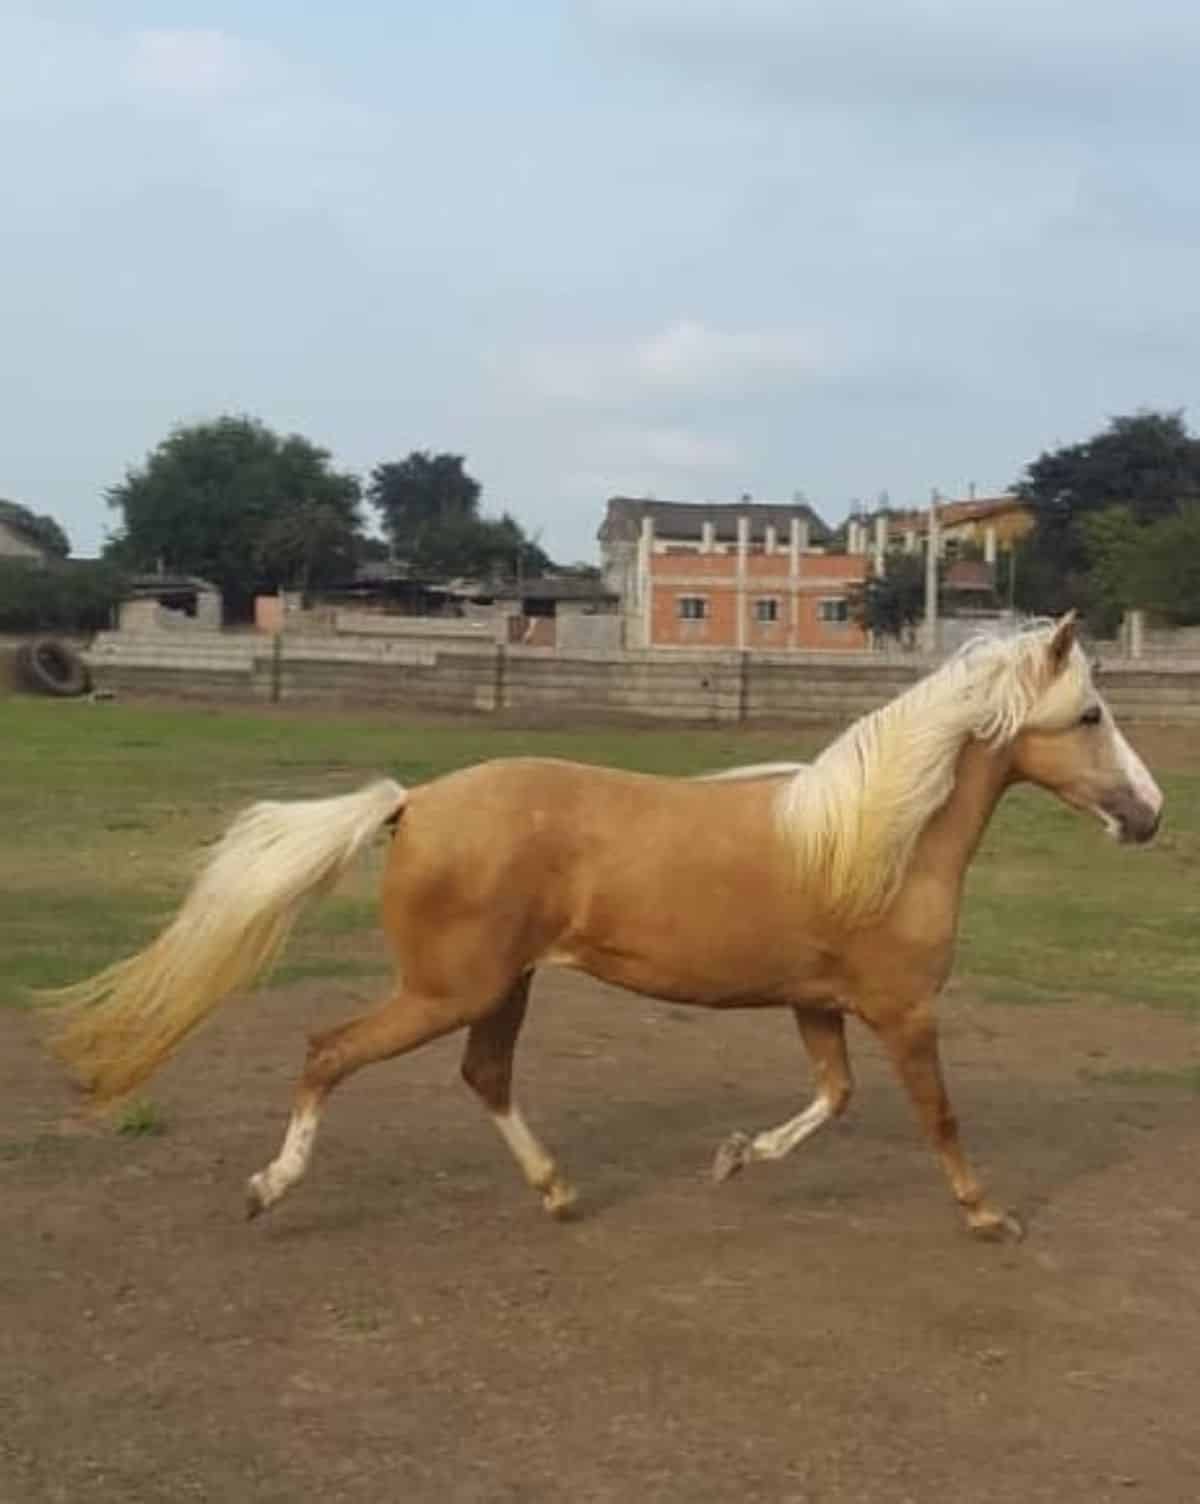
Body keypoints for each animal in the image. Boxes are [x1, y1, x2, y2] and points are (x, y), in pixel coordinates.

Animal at [49, 610, 1166, 1233]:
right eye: (1089, 716)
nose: (1151, 814)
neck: (875, 841)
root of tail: (415, 802)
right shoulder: (903, 1011)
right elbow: (937, 1116)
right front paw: (989, 1215)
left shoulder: (816, 1004)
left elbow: (833, 1097)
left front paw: (734, 1158)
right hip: (448, 989)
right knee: (330, 1051)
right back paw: (268, 1189)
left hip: (502, 987)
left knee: (485, 1077)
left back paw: (558, 1192)